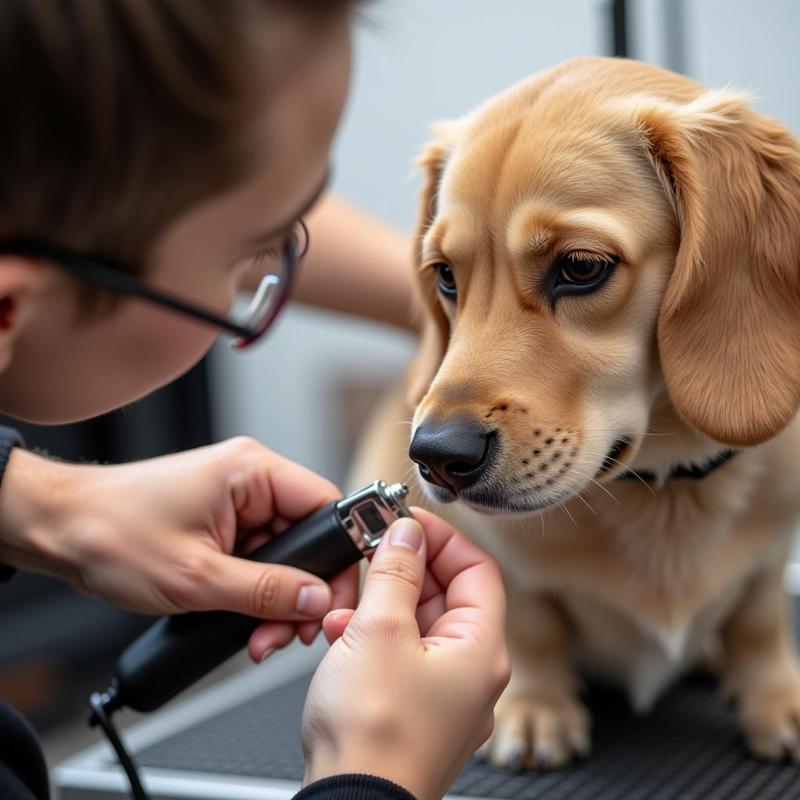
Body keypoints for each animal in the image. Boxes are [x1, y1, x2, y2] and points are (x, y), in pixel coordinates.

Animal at [352, 56, 800, 768]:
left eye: (581, 266)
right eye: (445, 275)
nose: (436, 457)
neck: (667, 492)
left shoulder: (772, 552)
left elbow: (759, 621)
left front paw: (775, 700)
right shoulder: (503, 560)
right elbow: (530, 624)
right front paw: (535, 707)